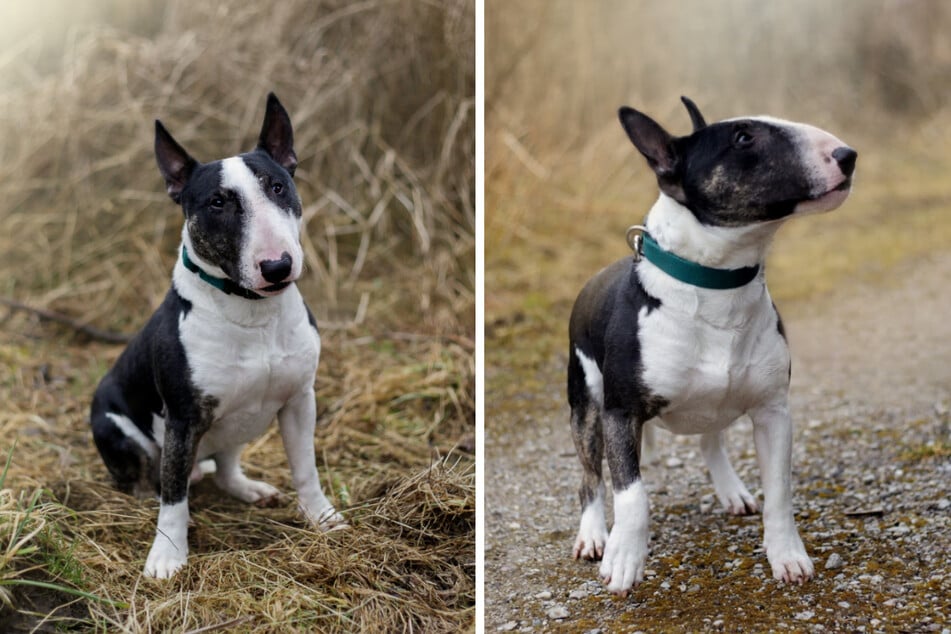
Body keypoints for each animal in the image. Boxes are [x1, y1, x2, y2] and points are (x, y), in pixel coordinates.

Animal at [90, 92, 346, 576]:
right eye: (216, 203)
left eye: (277, 186)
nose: (277, 266)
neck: (253, 312)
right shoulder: (183, 418)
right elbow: (174, 498)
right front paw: (168, 554)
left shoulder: (300, 400)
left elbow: (306, 468)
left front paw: (322, 517)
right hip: (115, 427)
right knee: (151, 482)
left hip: (234, 429)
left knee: (225, 468)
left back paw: (250, 489)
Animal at [568, 97, 860, 592]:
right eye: (743, 138)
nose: (846, 155)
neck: (717, 285)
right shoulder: (620, 413)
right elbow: (632, 495)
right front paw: (625, 560)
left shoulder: (773, 411)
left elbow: (780, 492)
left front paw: (787, 556)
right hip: (587, 403)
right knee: (590, 476)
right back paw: (594, 535)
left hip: (715, 402)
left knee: (710, 441)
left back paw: (731, 490)